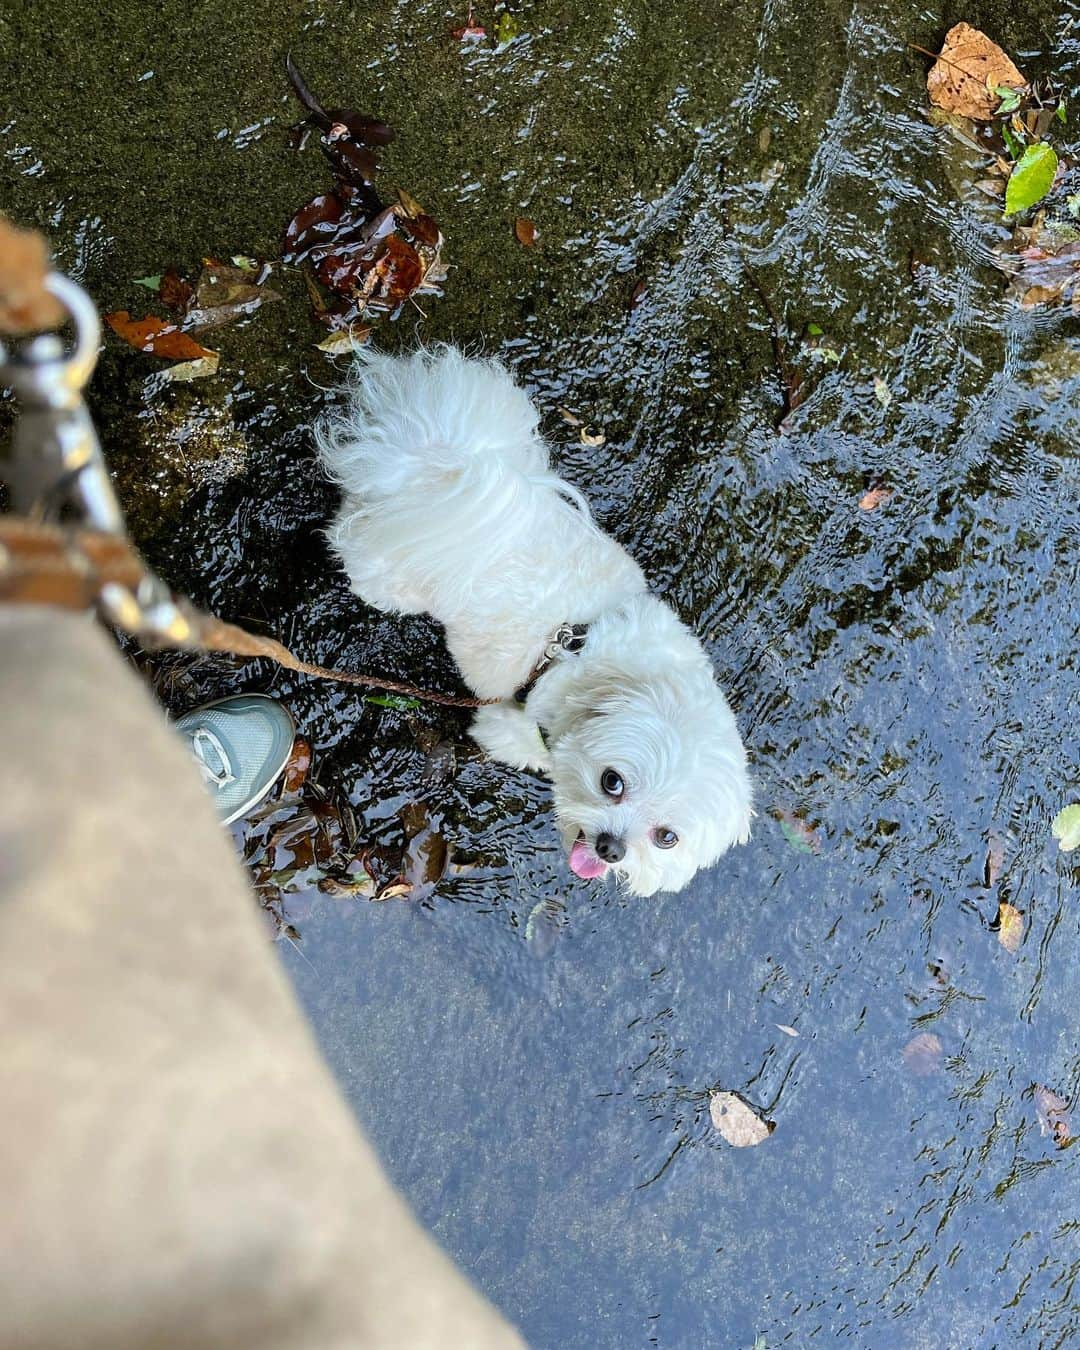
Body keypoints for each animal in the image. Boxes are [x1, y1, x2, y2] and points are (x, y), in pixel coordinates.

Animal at [315, 348, 745, 896]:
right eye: (612, 781)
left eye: (666, 837)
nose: (611, 848)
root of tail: (437, 463)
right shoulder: (509, 726)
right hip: (389, 576)